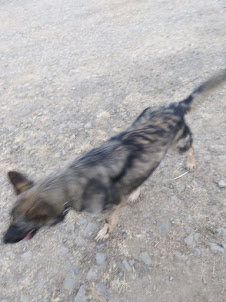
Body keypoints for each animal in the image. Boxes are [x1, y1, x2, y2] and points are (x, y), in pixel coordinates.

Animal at [2, 70, 225, 243]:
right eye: (10, 218)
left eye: (19, 225)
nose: (4, 240)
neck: (70, 182)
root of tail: (174, 105)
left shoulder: (112, 208)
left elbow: (109, 221)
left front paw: (105, 232)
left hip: (179, 145)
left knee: (192, 146)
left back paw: (191, 163)